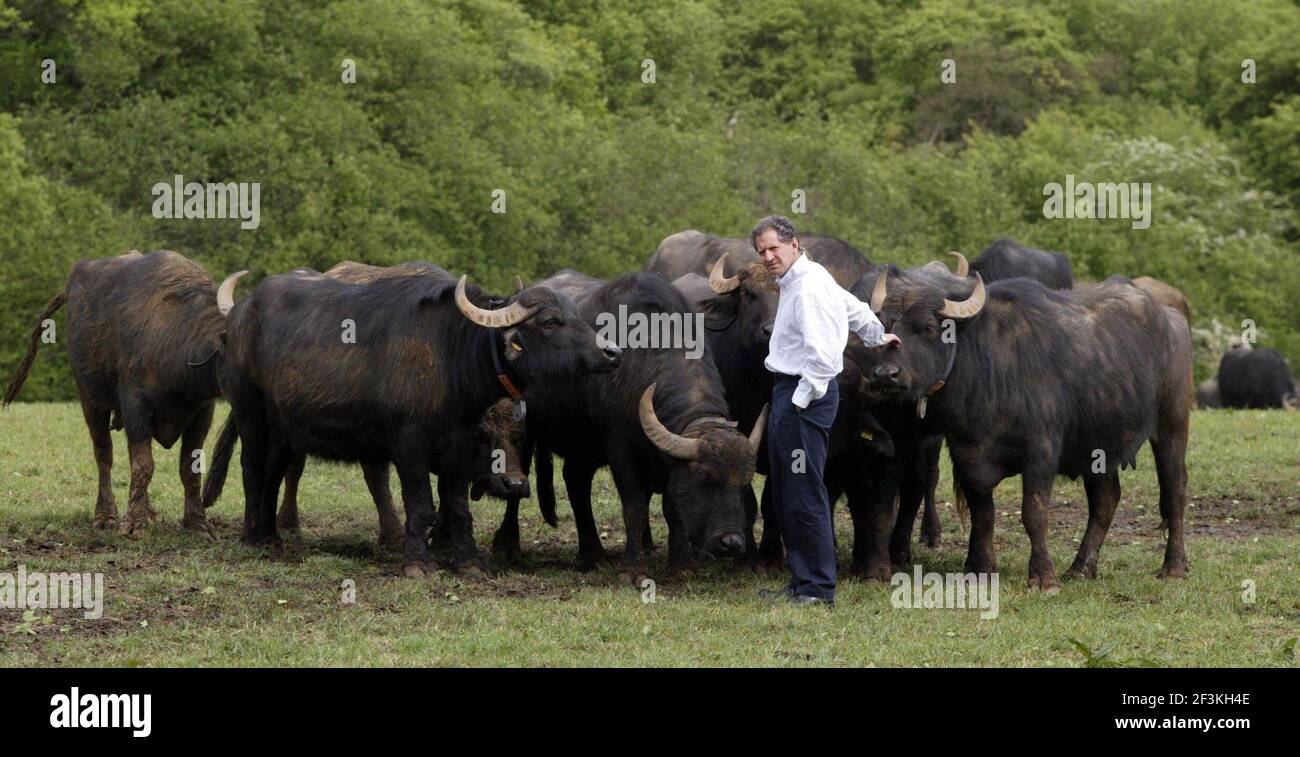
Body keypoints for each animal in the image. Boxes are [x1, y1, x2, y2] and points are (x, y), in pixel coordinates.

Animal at [3, 252, 241, 535]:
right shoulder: (134, 406)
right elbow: (143, 465)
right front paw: (133, 523)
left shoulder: (203, 412)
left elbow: (189, 468)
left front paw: (196, 523)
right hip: (90, 400)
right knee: (103, 455)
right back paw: (106, 515)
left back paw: (147, 512)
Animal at [208, 265, 618, 574]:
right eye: (551, 322)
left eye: (578, 316)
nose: (612, 352)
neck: (450, 354)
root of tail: (240, 315)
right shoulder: (409, 443)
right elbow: (420, 505)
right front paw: (418, 563)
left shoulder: (460, 445)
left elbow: (457, 507)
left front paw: (469, 562)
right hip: (250, 414)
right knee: (251, 470)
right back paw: (250, 537)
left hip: (283, 428)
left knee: (274, 473)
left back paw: (271, 537)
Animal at [868, 267, 1190, 593]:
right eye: (886, 326)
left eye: (929, 328)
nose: (886, 374)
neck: (988, 369)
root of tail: (1171, 320)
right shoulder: (968, 456)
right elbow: (983, 515)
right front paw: (980, 568)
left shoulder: (1041, 453)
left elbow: (1034, 514)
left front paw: (1043, 576)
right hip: (1099, 446)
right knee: (1105, 501)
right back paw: (1081, 568)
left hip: (1172, 425)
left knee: (1174, 492)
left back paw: (1173, 567)